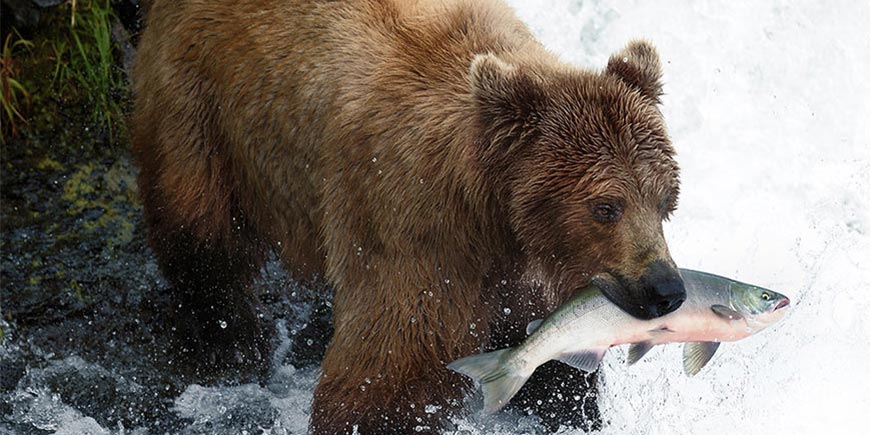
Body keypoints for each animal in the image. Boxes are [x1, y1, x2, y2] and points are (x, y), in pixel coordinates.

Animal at [133, 0, 688, 432]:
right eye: (606, 207)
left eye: (666, 200)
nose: (666, 289)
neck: (495, 210)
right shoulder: (416, 228)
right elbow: (392, 368)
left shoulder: (530, 270)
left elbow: (549, 358)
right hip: (201, 108)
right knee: (200, 232)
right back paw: (231, 342)